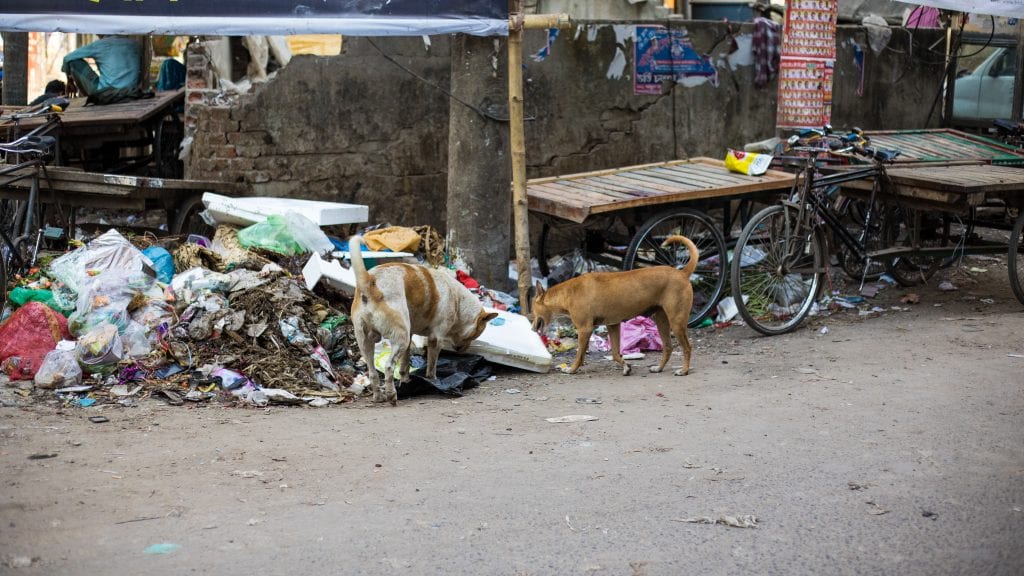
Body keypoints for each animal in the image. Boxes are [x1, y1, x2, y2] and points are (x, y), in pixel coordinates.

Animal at [350, 233, 497, 403]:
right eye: (477, 333)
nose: (462, 352)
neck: (459, 301)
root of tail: (370, 283)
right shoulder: (436, 339)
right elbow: (431, 366)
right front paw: (433, 381)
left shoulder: (410, 337)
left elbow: (404, 366)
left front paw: (406, 382)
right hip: (399, 337)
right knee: (388, 366)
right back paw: (392, 395)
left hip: (366, 341)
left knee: (373, 372)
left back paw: (379, 396)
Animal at [532, 234, 700, 377]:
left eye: (533, 311)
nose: (532, 329)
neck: (567, 293)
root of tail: (682, 273)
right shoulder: (613, 325)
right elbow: (614, 353)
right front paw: (626, 367)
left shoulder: (584, 329)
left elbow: (579, 355)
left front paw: (572, 369)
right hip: (662, 320)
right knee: (668, 347)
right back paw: (659, 368)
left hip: (676, 321)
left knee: (687, 347)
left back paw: (684, 370)